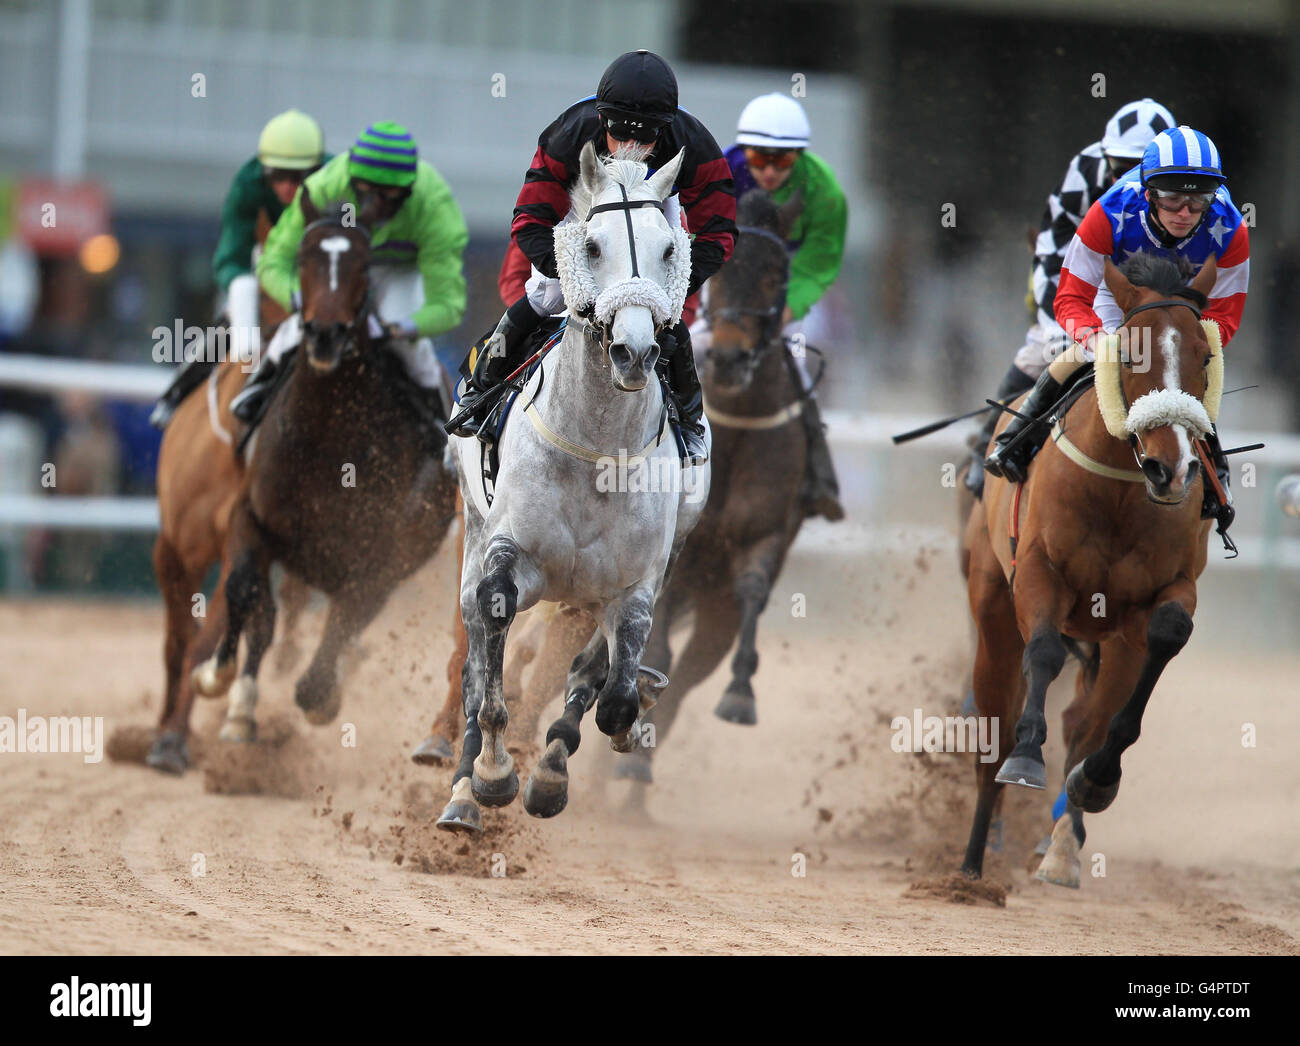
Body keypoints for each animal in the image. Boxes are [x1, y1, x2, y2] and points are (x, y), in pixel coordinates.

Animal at [189, 193, 460, 743]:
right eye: (303, 257)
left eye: (363, 265)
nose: (326, 335)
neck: (328, 443)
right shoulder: (251, 514)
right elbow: (242, 588)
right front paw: (217, 679)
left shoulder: (382, 556)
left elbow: (331, 649)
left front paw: (321, 695)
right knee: (268, 615)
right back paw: (242, 708)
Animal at [434, 144, 712, 831]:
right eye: (590, 245)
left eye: (671, 249)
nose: (635, 350)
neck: (596, 449)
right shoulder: (510, 556)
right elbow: (491, 669)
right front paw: (493, 775)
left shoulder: (633, 585)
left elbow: (608, 693)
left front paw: (554, 773)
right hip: (474, 539)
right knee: (474, 664)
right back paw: (463, 792)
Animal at [613, 187, 806, 790]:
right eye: (720, 273)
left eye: (775, 275)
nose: (727, 356)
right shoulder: (677, 555)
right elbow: (656, 646)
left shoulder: (765, 534)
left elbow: (752, 592)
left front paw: (741, 694)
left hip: (712, 616)